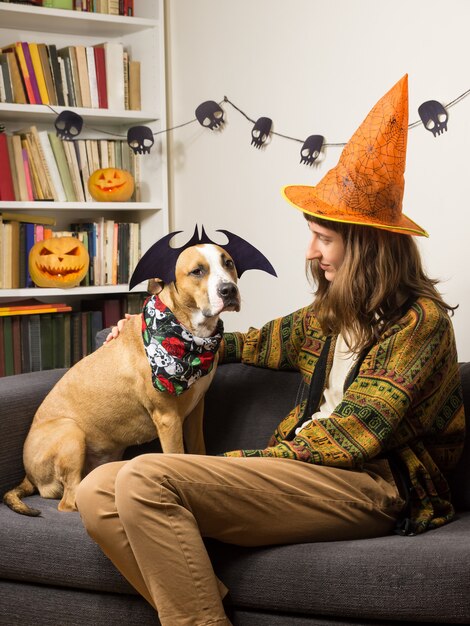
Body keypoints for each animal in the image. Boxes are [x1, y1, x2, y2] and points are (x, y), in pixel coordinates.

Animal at [2, 241, 239, 516]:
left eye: (228, 263)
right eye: (197, 271)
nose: (229, 290)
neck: (187, 332)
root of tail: (27, 475)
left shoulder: (194, 412)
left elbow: (197, 452)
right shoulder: (168, 419)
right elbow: (176, 455)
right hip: (70, 431)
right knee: (69, 501)